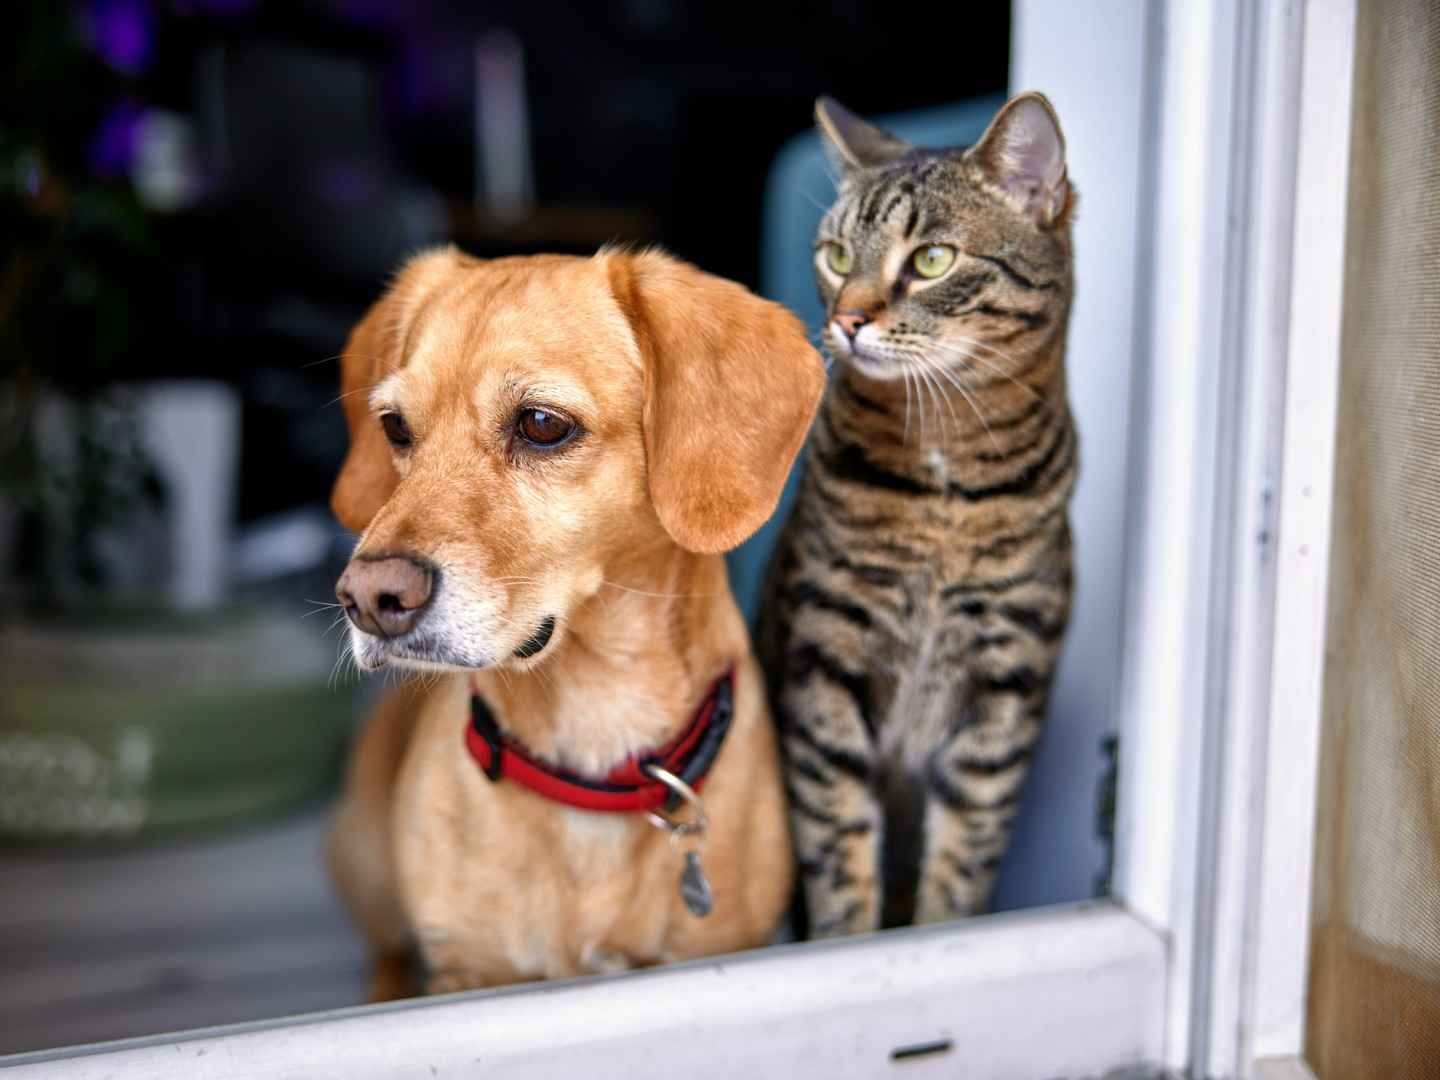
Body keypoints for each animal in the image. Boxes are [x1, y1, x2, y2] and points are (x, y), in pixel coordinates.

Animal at [322, 244, 829, 996]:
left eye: (541, 425)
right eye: (394, 428)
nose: (368, 596)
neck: (593, 724)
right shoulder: (465, 971)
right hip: (368, 868)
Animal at [754, 92, 1082, 938]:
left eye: (931, 260)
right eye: (837, 256)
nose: (847, 320)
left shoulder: (1006, 682)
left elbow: (963, 858)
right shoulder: (824, 658)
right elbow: (837, 845)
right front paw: (846, 945)